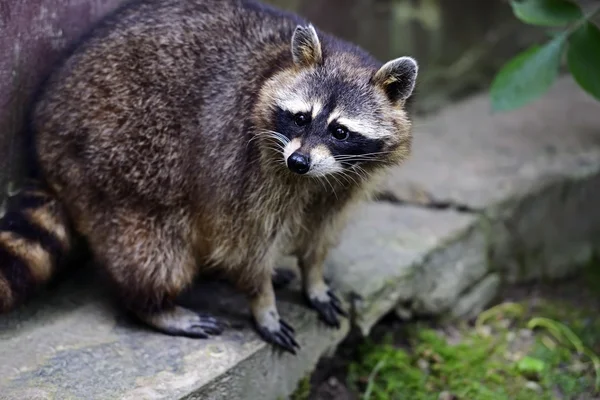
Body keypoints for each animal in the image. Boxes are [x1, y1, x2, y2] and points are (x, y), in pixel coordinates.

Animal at [0, 0, 420, 354]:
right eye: (301, 117)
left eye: (340, 131)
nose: (299, 161)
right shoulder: (248, 166)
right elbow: (249, 242)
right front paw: (262, 301)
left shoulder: (346, 183)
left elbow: (320, 232)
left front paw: (313, 278)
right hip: (112, 151)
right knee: (151, 241)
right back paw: (153, 305)